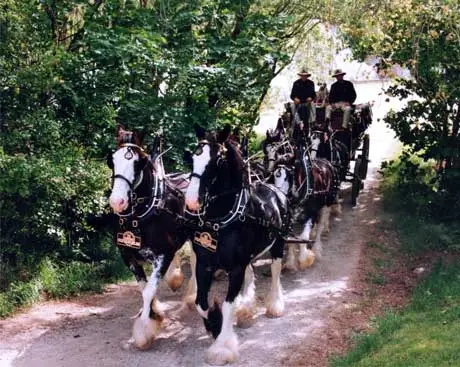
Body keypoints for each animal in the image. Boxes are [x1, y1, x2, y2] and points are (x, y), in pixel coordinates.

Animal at [106, 126, 196, 350]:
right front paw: (154, 311)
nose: (117, 201)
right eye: (111, 160)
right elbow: (143, 287)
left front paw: (145, 329)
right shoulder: (128, 256)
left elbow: (148, 290)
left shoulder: (163, 255)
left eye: (138, 163)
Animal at [183, 125, 288, 366]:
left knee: (276, 271)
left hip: (278, 244)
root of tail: (273, 188)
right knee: (251, 273)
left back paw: (275, 305)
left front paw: (222, 347)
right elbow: (201, 302)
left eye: (215, 162)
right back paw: (246, 309)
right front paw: (215, 322)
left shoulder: (235, 268)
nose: (191, 201)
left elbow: (228, 303)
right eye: (193, 158)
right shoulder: (204, 265)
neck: (222, 219)